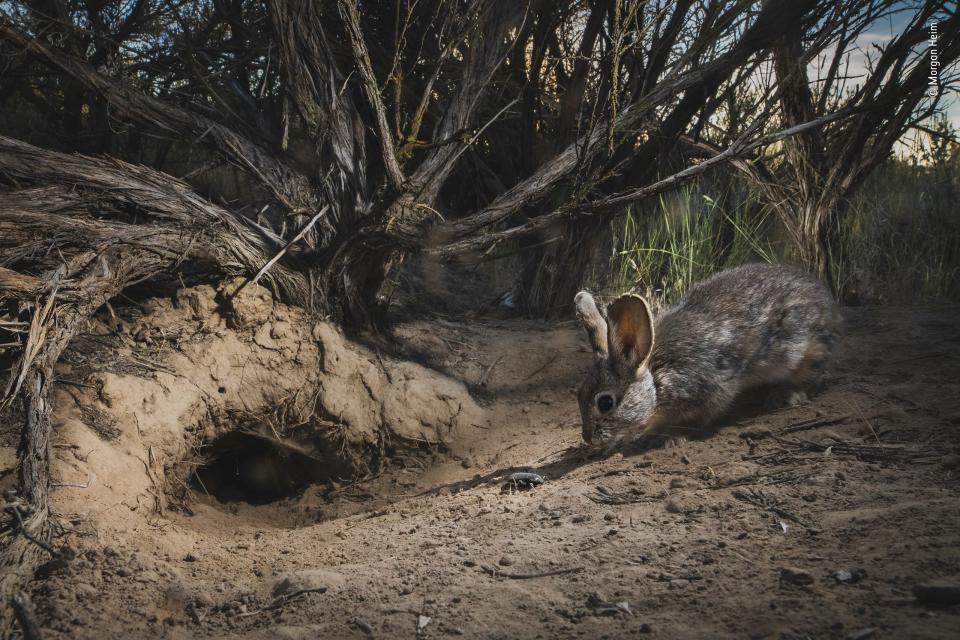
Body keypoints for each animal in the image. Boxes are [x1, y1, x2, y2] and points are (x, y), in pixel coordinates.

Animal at [576, 262, 840, 448]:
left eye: (605, 402)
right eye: (579, 394)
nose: (589, 438)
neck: (656, 377)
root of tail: (827, 300)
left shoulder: (708, 389)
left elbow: (698, 419)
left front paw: (668, 438)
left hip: (805, 350)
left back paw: (788, 395)